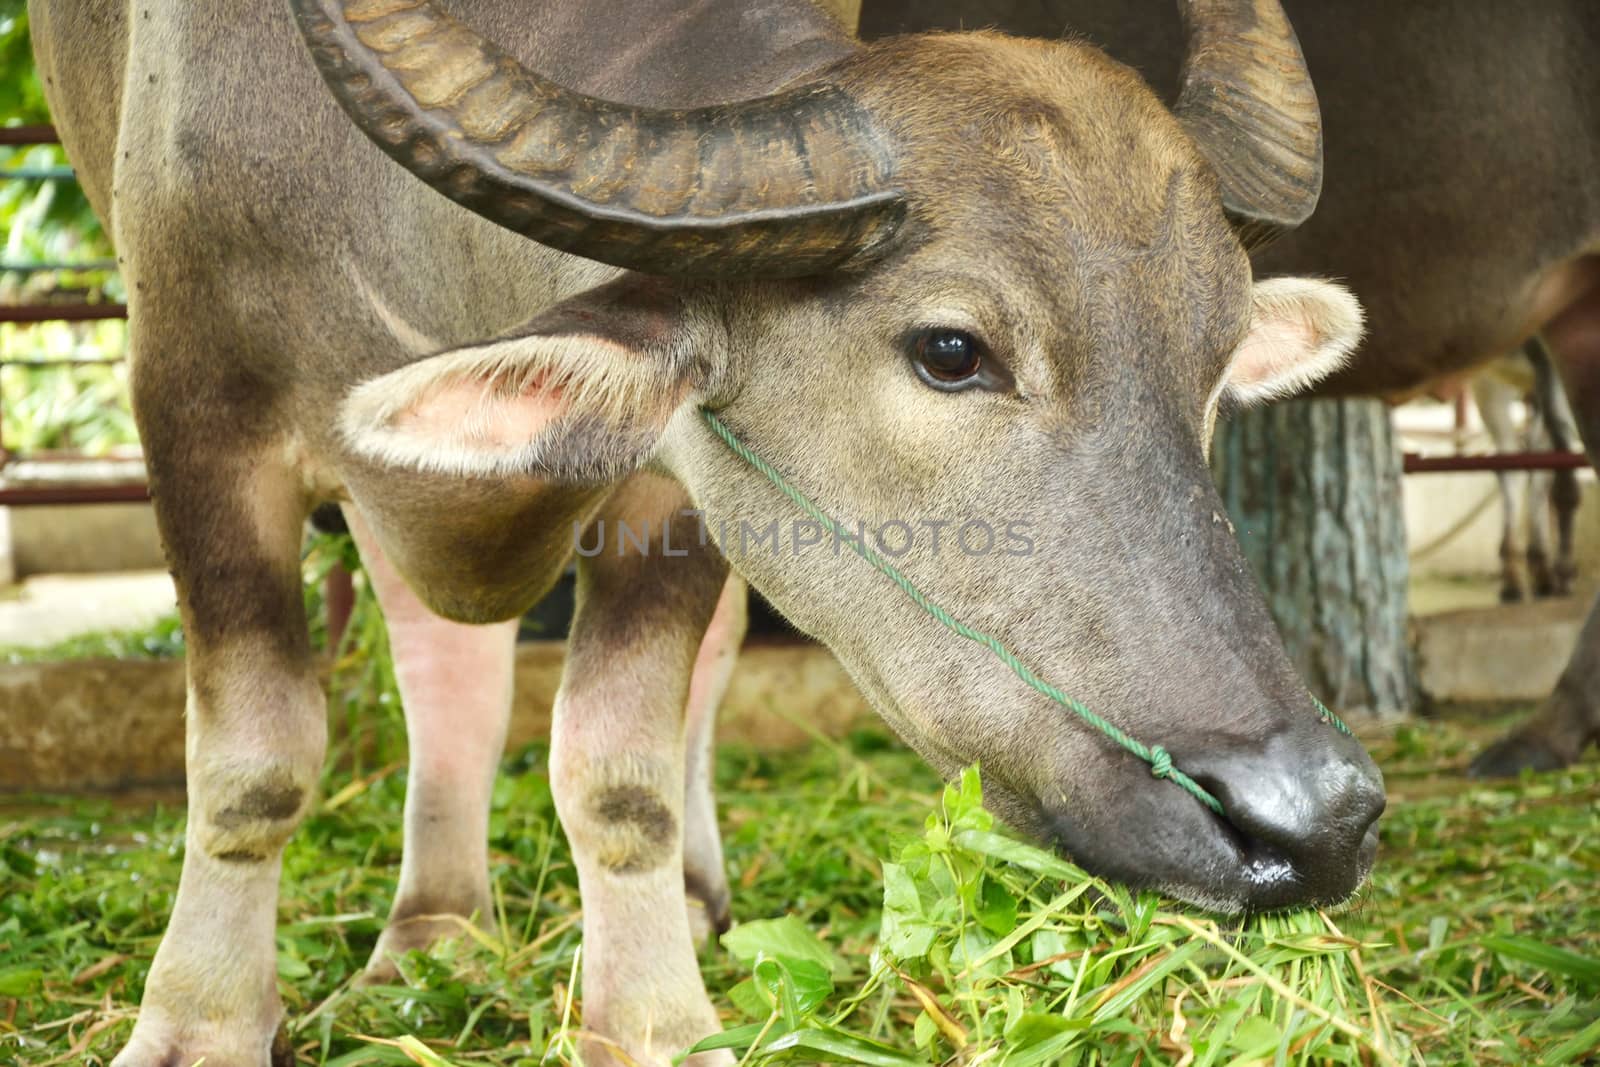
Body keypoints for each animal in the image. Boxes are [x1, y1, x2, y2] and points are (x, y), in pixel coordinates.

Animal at [31, 0, 1388, 1062]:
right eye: (951, 348)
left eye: (1215, 363)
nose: (1312, 815)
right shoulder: (198, 415)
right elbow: (254, 758)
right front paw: (199, 1021)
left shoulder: (675, 489)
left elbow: (619, 770)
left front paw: (650, 1022)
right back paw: (435, 929)